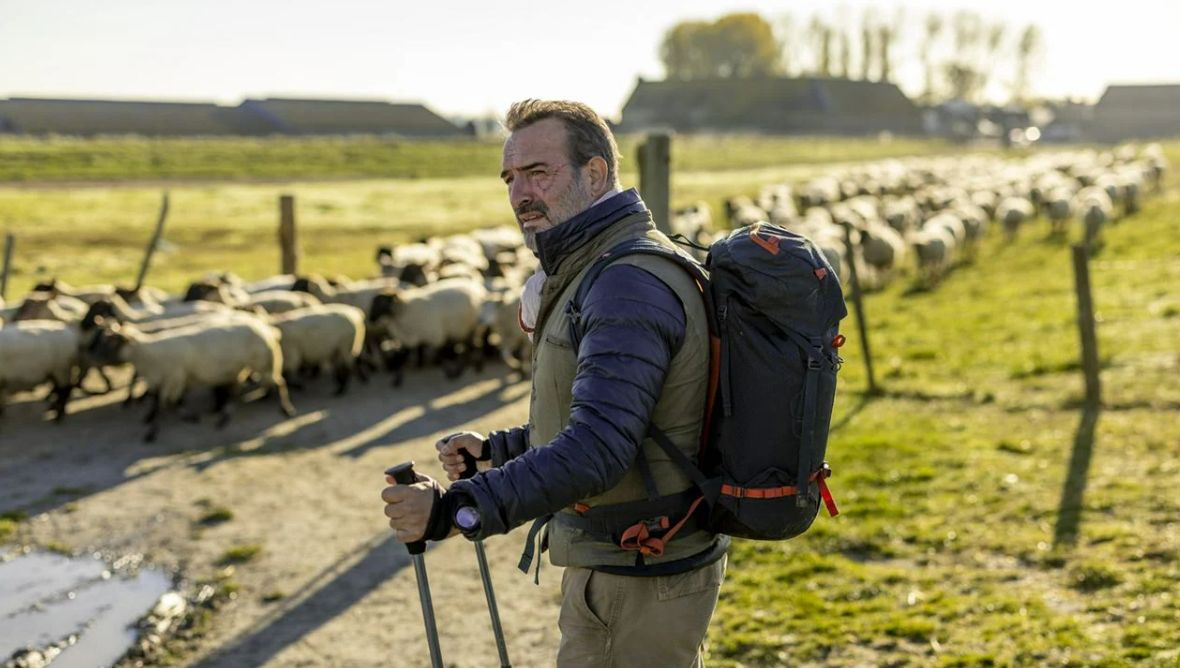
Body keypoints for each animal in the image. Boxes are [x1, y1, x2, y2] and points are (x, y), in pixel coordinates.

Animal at [87, 318, 295, 446]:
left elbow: (163, 404)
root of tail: (267, 328)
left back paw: (286, 409)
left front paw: (152, 432)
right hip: (240, 368)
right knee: (235, 390)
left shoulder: (173, 379)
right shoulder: (163, 381)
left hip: (264, 362)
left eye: (108, 341)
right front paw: (182, 416)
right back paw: (224, 417)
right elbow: (162, 403)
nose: (89, 357)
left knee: (279, 382)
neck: (147, 354)